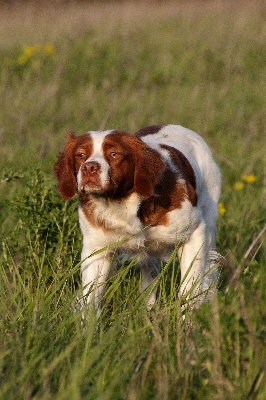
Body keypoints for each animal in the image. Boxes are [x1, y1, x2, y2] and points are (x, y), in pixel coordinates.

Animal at [53, 124, 220, 310]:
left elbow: (188, 291)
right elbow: (90, 301)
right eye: (80, 155)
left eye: (114, 154)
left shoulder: (194, 233)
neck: (121, 203)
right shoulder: (96, 249)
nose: (89, 167)